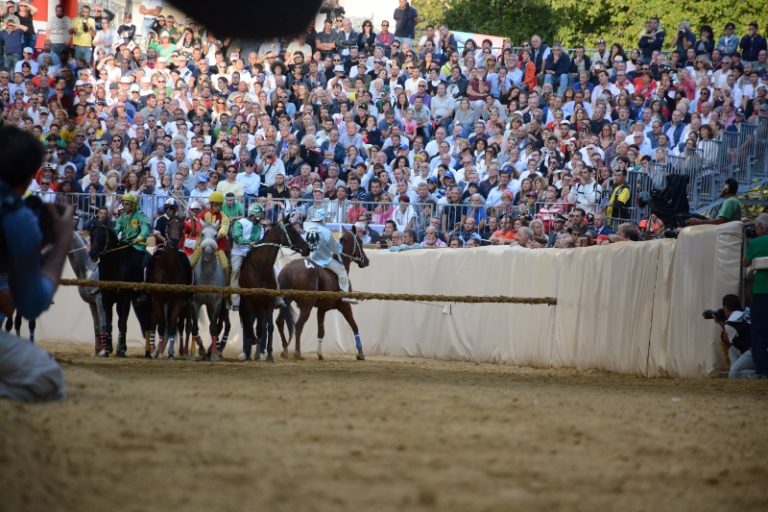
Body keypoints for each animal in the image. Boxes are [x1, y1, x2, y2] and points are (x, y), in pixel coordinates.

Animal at [88, 222, 152, 358]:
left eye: (103, 236)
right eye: (92, 235)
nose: (92, 253)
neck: (115, 265)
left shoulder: (124, 299)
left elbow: (122, 323)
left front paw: (121, 349)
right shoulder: (106, 299)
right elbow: (109, 323)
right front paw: (107, 349)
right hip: (139, 304)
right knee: (145, 322)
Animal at [187, 223, 231, 360]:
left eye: (216, 235)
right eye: (202, 234)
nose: (207, 251)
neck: (207, 276)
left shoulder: (216, 304)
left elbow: (213, 327)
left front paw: (214, 355)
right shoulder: (195, 303)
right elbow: (195, 327)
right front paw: (195, 352)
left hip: (221, 307)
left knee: (221, 325)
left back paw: (215, 350)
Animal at [242, 219, 310, 360]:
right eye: (293, 231)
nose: (308, 248)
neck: (260, 268)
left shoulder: (268, 302)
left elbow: (269, 327)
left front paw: (269, 354)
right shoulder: (257, 301)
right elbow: (259, 327)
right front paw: (258, 352)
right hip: (248, 303)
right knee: (248, 323)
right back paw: (248, 351)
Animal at [278, 228, 370, 360]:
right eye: (360, 242)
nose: (366, 261)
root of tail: (288, 269)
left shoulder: (322, 309)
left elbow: (321, 331)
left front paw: (320, 354)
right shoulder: (344, 306)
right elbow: (354, 325)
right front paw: (360, 352)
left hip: (286, 302)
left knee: (279, 322)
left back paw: (285, 350)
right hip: (306, 306)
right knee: (299, 325)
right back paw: (297, 352)